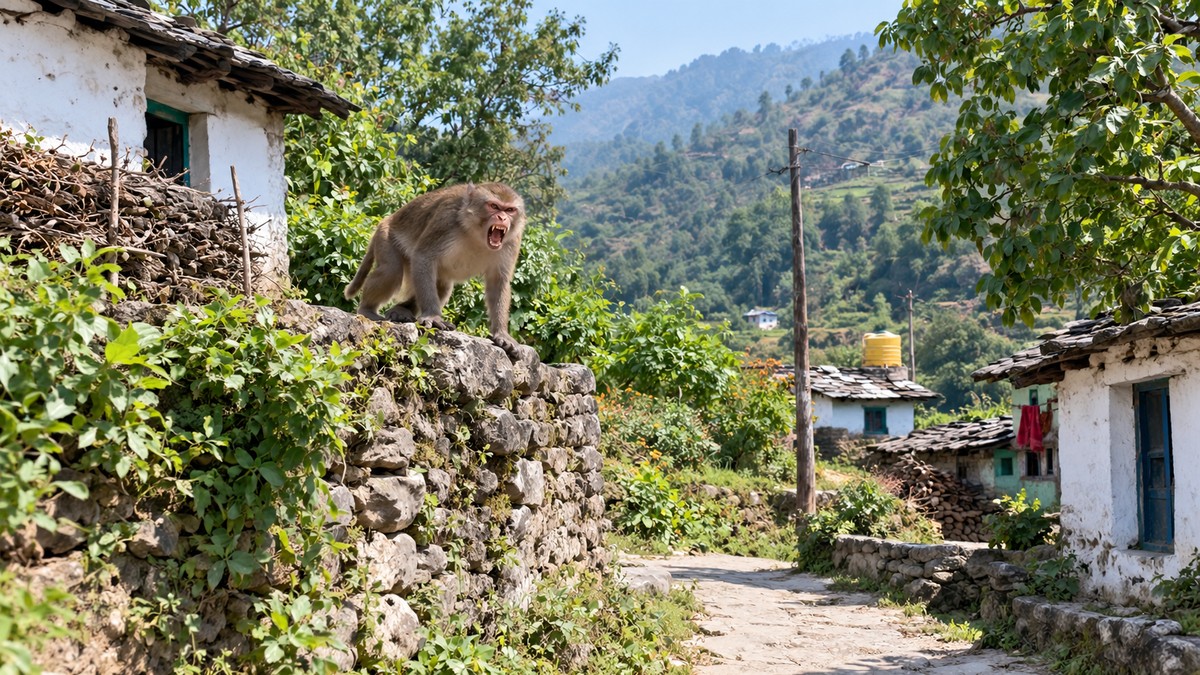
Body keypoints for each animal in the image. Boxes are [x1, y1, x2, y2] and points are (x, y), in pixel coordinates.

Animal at [344, 182, 526, 351]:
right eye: (494, 206)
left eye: (510, 210)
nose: (502, 218)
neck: (476, 233)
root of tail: (385, 220)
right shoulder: (445, 220)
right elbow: (423, 257)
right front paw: (433, 317)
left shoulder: (512, 240)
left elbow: (498, 281)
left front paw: (502, 334)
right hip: (385, 237)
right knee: (391, 271)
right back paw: (367, 309)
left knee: (442, 286)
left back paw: (401, 310)